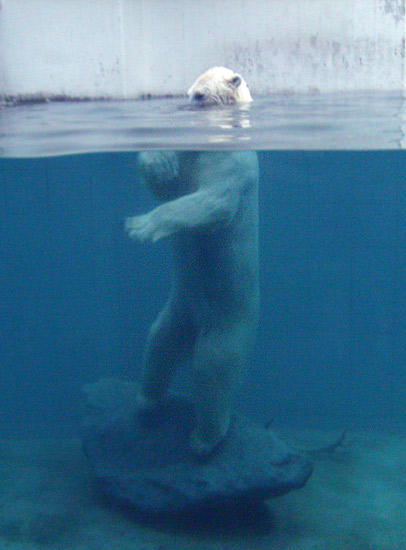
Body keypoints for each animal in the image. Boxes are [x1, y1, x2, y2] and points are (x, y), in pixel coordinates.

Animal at [127, 69, 258, 458]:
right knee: (160, 343)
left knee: (212, 366)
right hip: (179, 307)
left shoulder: (234, 167)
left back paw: (204, 439)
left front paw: (140, 226)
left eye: (200, 96)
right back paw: (146, 400)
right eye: (188, 93)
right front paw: (161, 160)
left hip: (229, 319)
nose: (185, 107)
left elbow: (212, 202)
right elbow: (165, 185)